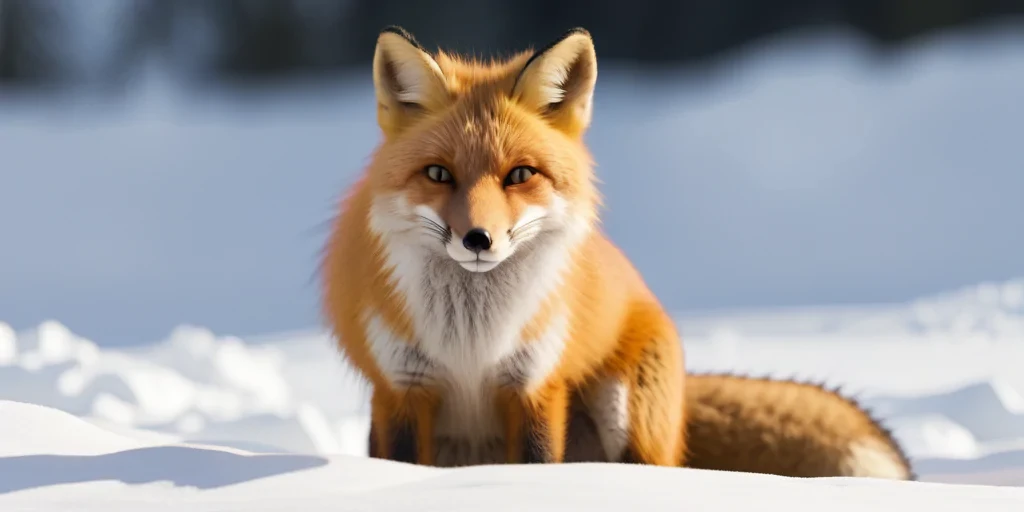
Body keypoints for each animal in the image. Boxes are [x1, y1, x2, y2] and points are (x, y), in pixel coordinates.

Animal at [322, 26, 686, 467]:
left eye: (520, 175)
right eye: (438, 174)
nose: (478, 239)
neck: (472, 344)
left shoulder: (532, 383)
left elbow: (537, 461)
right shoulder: (403, 384)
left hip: (629, 418)